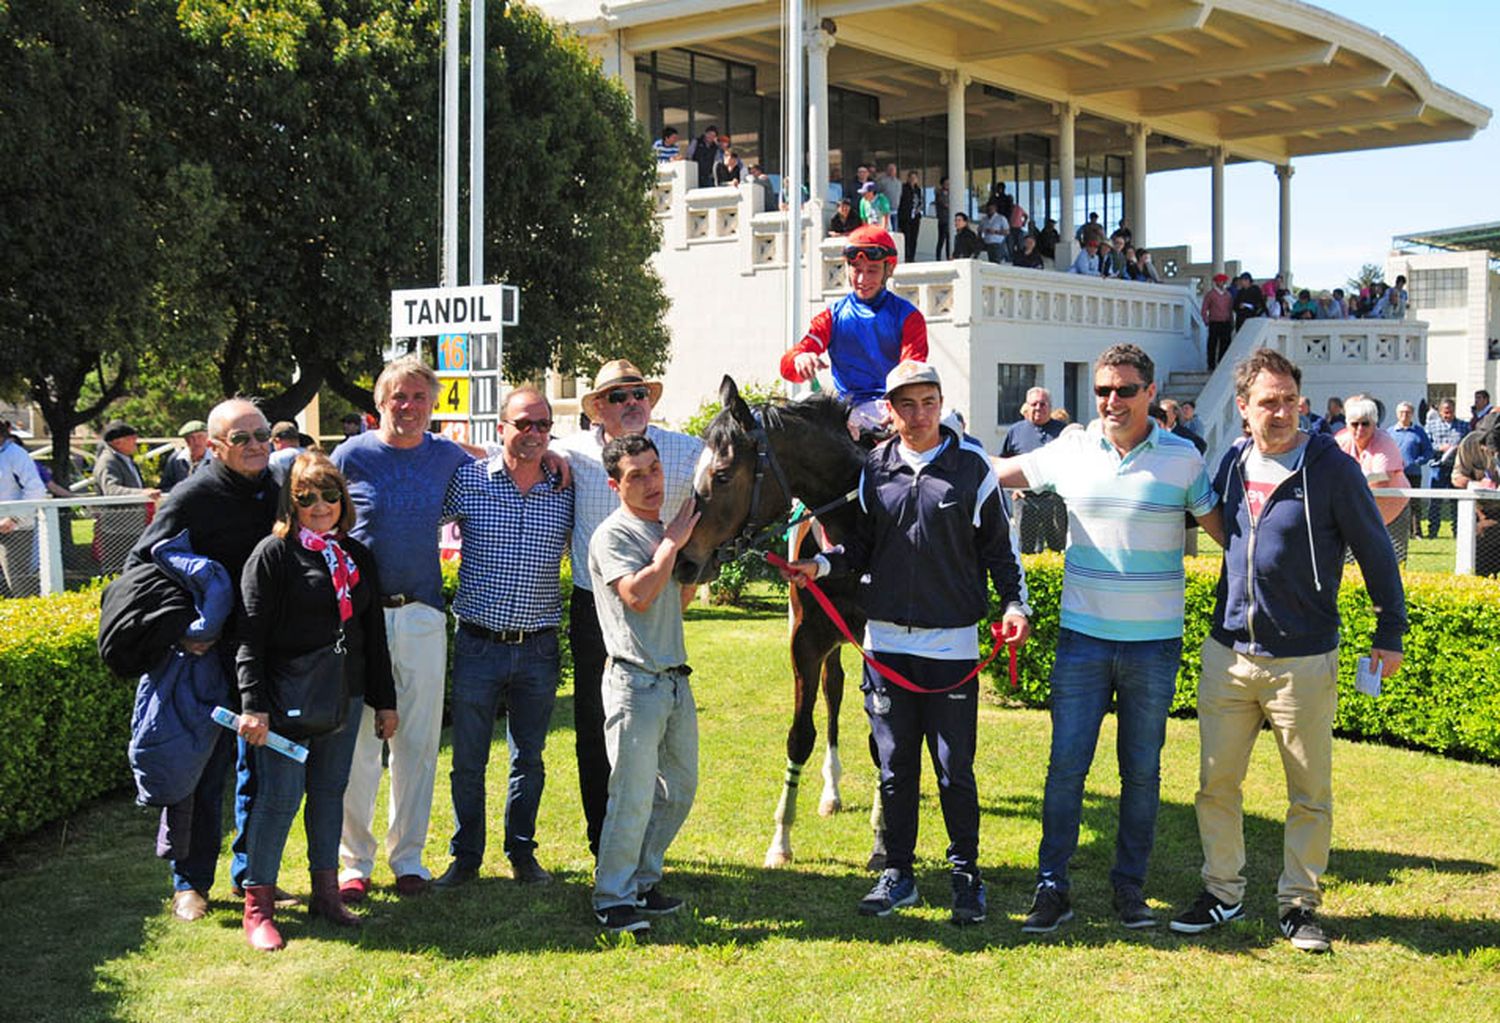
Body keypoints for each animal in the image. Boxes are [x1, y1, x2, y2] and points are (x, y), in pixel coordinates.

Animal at [675, 376, 882, 870]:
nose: (684, 560)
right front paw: (781, 840)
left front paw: (883, 835)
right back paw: (831, 792)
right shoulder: (806, 640)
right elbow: (799, 736)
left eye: (723, 474)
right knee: (833, 690)